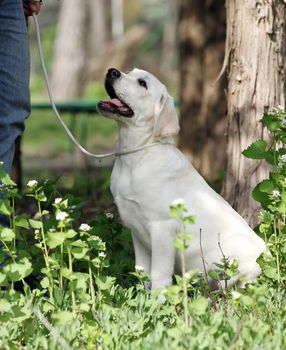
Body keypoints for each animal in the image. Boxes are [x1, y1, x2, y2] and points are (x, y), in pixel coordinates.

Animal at [98, 67, 266, 292]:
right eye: (130, 72)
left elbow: (159, 274)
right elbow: (141, 270)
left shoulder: (162, 228)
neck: (137, 155)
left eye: (142, 83)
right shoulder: (136, 230)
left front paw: (158, 299)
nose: (112, 71)